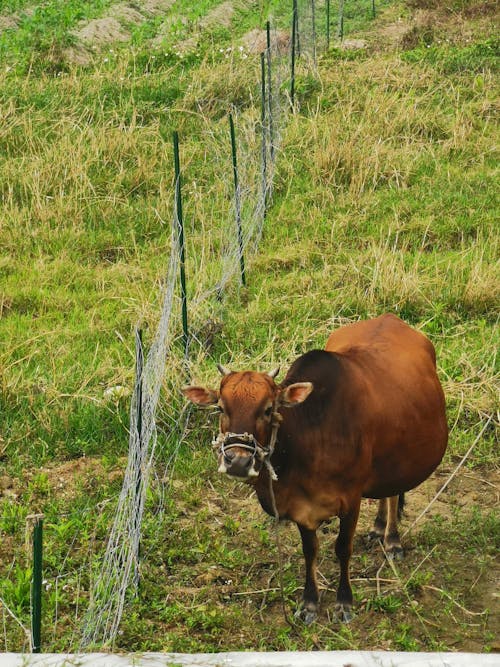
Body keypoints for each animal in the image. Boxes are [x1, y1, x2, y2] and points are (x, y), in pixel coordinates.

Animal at [182, 316, 448, 624]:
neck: (311, 436)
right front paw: (309, 602)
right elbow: (310, 551)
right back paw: (379, 527)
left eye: (268, 409)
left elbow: (343, 548)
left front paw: (344, 601)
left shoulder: (351, 500)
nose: (237, 461)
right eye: (220, 408)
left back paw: (391, 539)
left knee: (394, 493)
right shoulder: (301, 508)